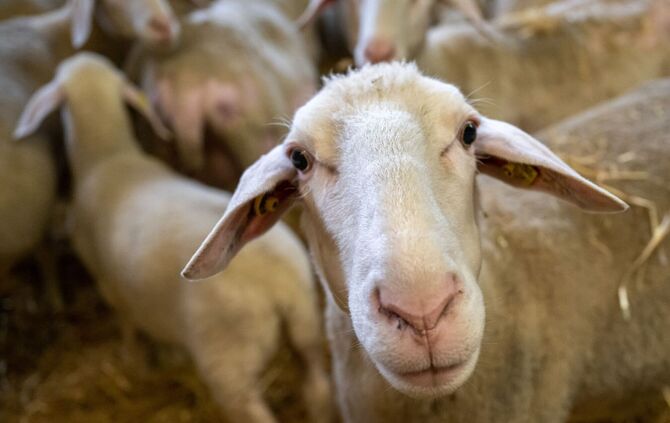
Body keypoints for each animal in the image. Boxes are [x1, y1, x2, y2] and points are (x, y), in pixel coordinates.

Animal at [14, 52, 333, 423]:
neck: (108, 156)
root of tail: (279, 285)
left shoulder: (109, 284)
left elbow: (129, 325)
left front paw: (135, 362)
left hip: (228, 359)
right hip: (307, 325)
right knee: (317, 386)